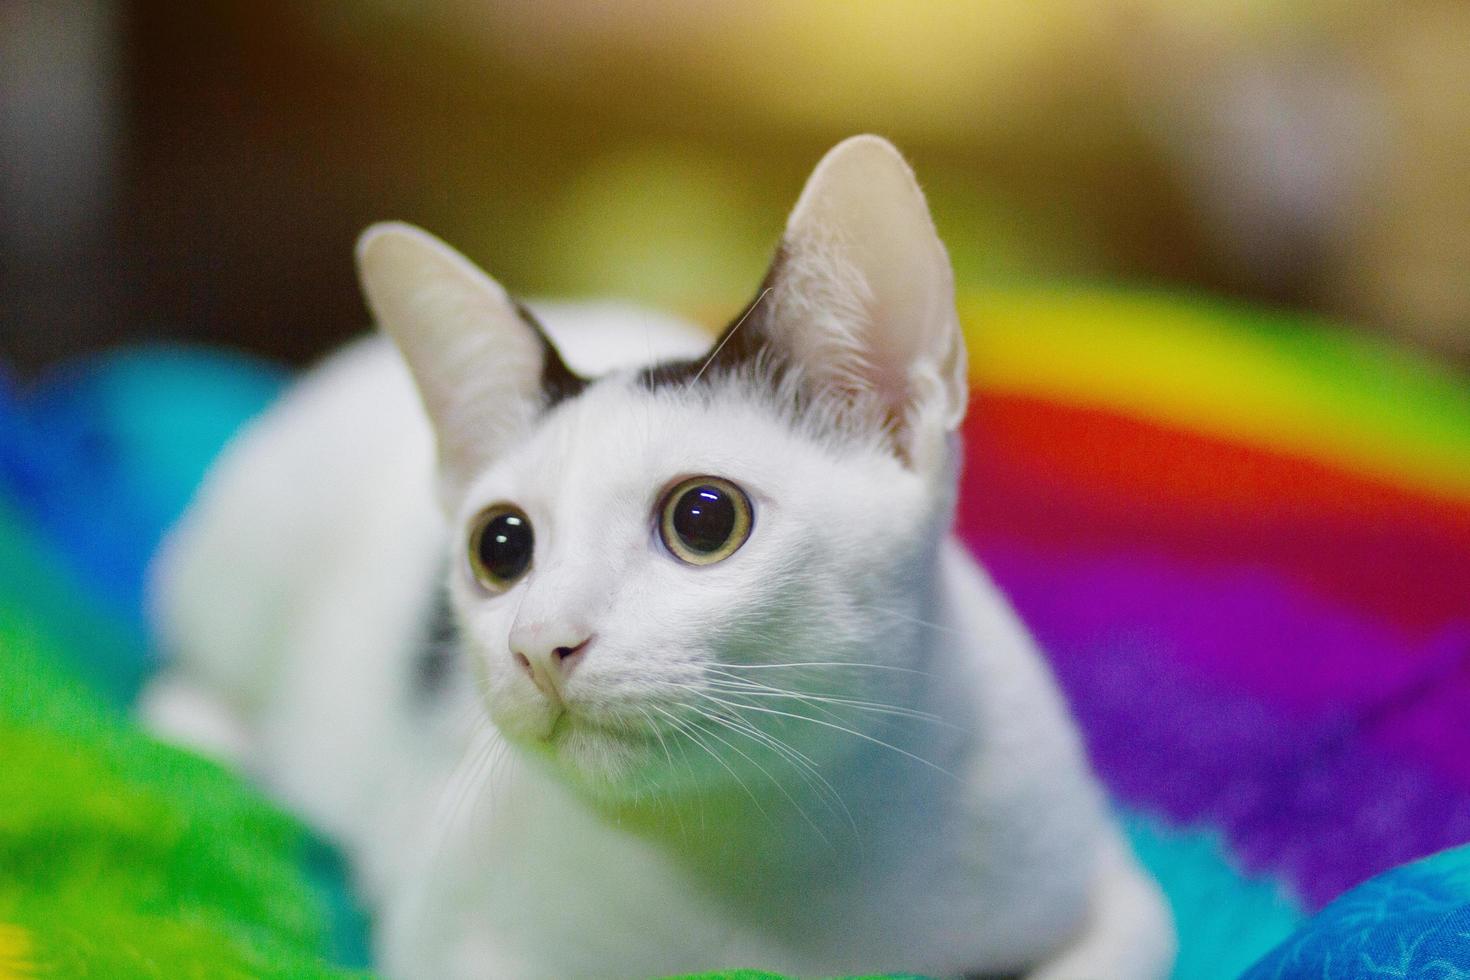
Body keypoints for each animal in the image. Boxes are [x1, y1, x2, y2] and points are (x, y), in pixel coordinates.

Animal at [143, 134, 1176, 975]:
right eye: (500, 546)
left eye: (705, 519)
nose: (540, 644)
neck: (769, 852)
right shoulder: (449, 932)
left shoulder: (1108, 887)